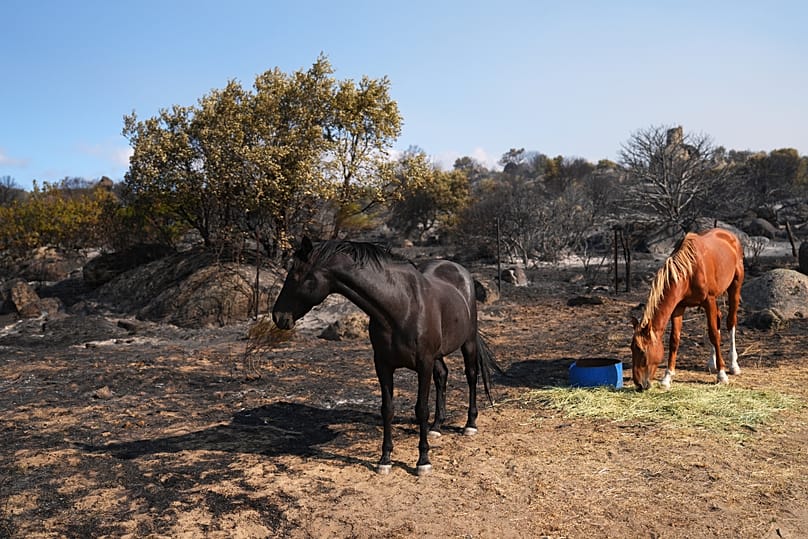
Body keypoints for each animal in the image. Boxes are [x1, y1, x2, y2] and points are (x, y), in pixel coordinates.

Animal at [271, 237, 502, 476]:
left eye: (296, 276)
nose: (278, 317)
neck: (401, 307)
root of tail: (460, 270)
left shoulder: (424, 364)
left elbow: (421, 409)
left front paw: (423, 460)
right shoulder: (383, 365)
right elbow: (387, 410)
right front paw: (385, 459)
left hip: (468, 342)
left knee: (471, 375)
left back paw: (470, 424)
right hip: (438, 355)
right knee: (442, 376)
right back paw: (437, 427)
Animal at [630, 228, 744, 391]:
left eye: (642, 350)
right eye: (631, 348)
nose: (639, 384)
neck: (689, 271)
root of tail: (730, 235)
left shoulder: (708, 301)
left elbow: (713, 335)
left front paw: (722, 375)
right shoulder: (679, 306)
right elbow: (674, 339)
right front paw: (667, 377)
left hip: (735, 286)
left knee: (730, 322)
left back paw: (733, 364)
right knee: (718, 318)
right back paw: (712, 363)